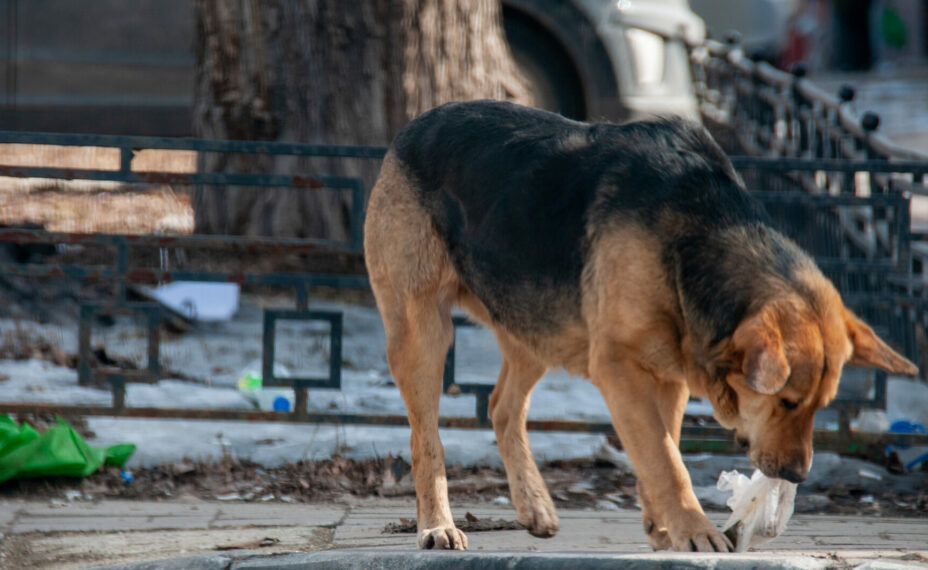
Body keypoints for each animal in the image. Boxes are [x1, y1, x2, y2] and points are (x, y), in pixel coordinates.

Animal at [360, 101, 912, 552]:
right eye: (788, 402)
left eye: (821, 405)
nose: (798, 474)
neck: (696, 238)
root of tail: (413, 126)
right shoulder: (619, 366)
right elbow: (667, 461)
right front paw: (695, 530)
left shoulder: (668, 374)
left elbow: (659, 449)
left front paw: (664, 528)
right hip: (424, 332)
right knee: (426, 439)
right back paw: (437, 525)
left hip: (538, 325)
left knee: (501, 407)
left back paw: (533, 505)